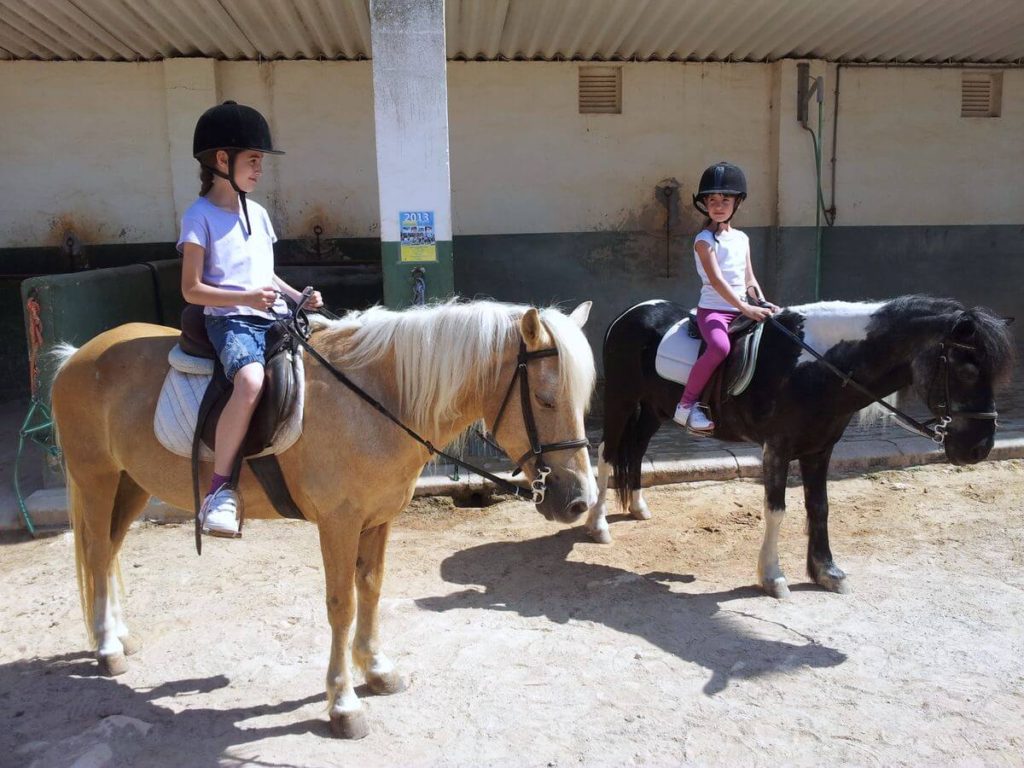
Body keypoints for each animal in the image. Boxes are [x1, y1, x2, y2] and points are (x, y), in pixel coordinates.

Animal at [54, 299, 598, 741]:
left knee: (110, 551)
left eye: (582, 401)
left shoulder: (378, 518)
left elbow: (372, 589)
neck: (378, 399)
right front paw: (343, 703)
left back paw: (119, 635)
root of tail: (76, 356)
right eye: (546, 399)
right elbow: (342, 605)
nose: (579, 501)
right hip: (96, 477)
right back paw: (107, 647)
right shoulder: (338, 523)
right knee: (98, 553)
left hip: (131, 483)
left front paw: (376, 669)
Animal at [589, 296, 1011, 602]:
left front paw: (827, 572)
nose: (979, 448)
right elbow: (776, 510)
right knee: (608, 455)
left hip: (653, 409)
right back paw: (598, 526)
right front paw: (772, 577)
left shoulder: (819, 449)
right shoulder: (777, 448)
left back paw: (638, 507)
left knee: (635, 451)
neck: (817, 366)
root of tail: (631, 313)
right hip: (620, 400)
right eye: (967, 368)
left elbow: (820, 507)